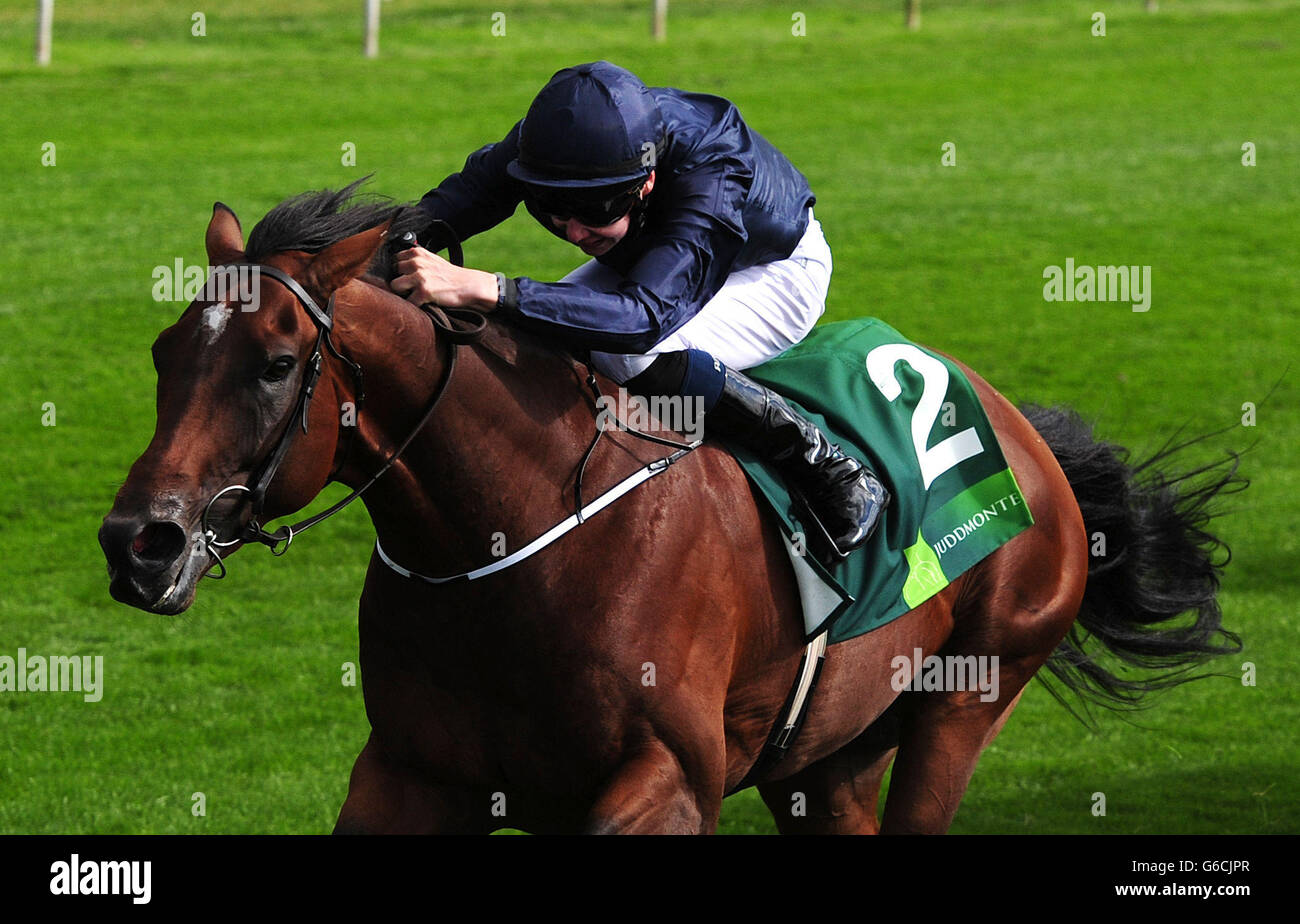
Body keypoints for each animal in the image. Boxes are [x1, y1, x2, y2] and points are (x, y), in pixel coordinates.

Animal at [98, 191, 1237, 836]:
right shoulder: (413, 774)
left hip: (970, 696)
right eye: (162, 353)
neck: (510, 543)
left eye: (275, 364)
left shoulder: (669, 779)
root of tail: (1024, 433)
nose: (139, 544)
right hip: (829, 756)